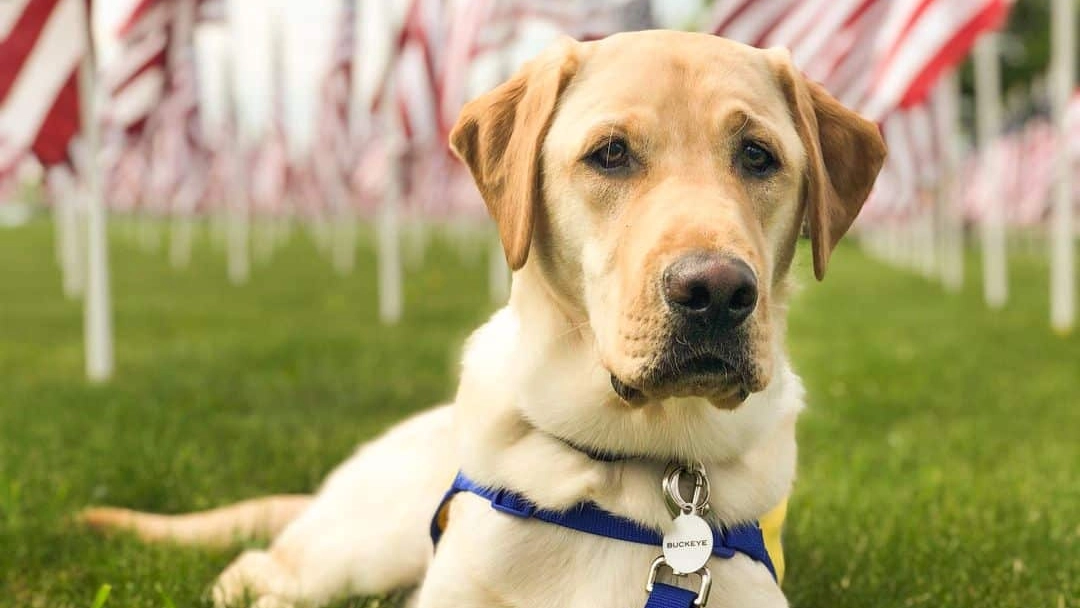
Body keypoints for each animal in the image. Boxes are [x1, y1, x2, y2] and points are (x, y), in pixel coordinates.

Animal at [84, 32, 881, 608]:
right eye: (611, 153)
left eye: (758, 155)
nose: (715, 291)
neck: (635, 471)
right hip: (363, 548)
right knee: (257, 572)